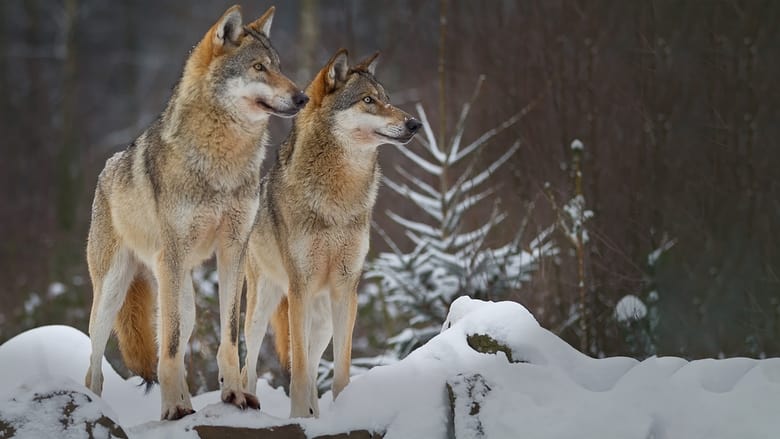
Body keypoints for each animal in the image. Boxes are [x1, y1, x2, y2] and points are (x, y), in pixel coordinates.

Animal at [244, 49, 424, 418]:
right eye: (368, 100)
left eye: (386, 99)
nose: (414, 123)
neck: (338, 198)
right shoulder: (299, 289)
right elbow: (297, 371)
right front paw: (298, 418)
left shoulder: (346, 289)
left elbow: (340, 368)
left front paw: (343, 412)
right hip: (262, 308)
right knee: (247, 365)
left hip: (323, 319)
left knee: (315, 368)